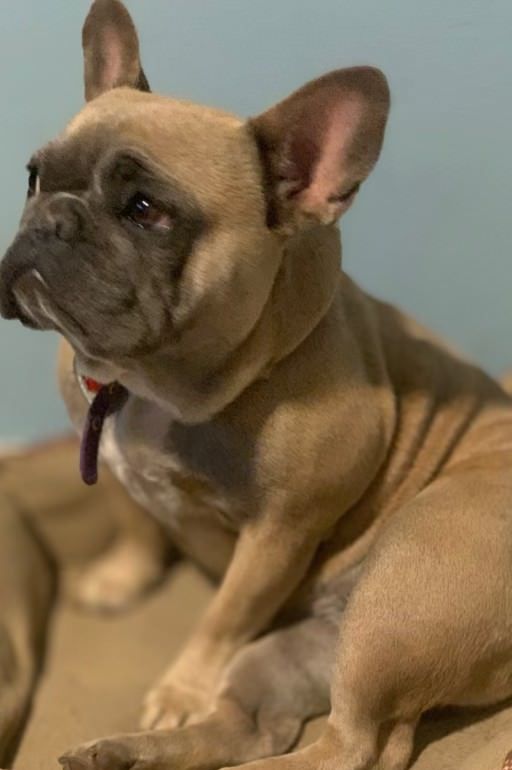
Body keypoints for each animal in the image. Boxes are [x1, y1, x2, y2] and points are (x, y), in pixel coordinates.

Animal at [1, 1, 512, 768]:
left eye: (146, 210)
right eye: (33, 177)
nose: (51, 219)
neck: (147, 384)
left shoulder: (277, 535)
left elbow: (221, 617)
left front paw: (179, 688)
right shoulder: (100, 447)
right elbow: (132, 519)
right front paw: (122, 576)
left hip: (399, 596)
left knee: (350, 744)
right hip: (308, 648)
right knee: (269, 727)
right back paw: (120, 752)